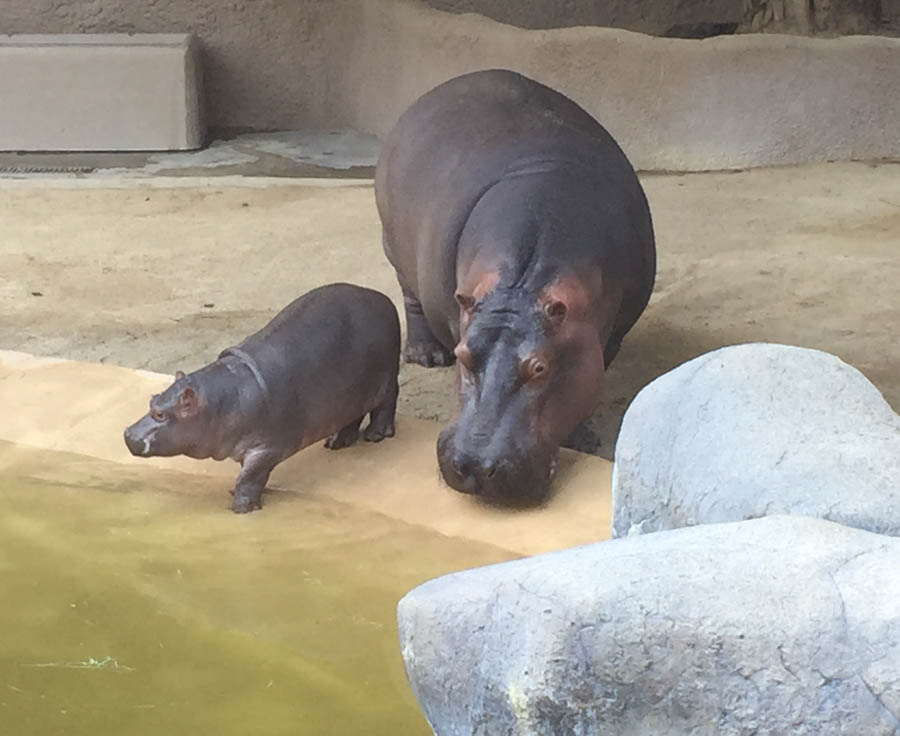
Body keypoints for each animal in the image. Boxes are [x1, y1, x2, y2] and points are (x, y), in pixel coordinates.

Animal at [123, 284, 400, 516]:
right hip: (349, 392)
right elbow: (248, 475)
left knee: (386, 403)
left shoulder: (267, 448)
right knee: (352, 415)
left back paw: (376, 435)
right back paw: (336, 443)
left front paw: (242, 508)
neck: (221, 401)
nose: (127, 433)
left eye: (161, 415)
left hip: (386, 377)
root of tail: (381, 297)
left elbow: (250, 476)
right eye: (152, 401)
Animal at [372, 69, 652, 504]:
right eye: (464, 355)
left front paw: (581, 439)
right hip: (395, 246)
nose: (473, 465)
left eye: (540, 367)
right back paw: (426, 355)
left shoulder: (610, 332)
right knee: (410, 296)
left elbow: (594, 371)